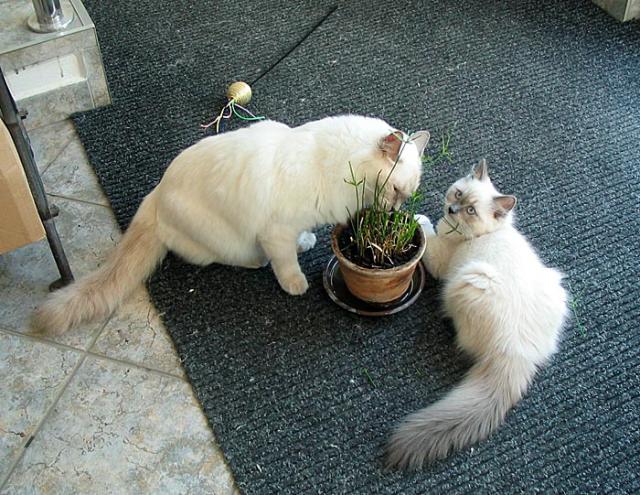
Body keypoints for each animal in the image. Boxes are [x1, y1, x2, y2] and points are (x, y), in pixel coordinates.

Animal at [31, 115, 430, 338]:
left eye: (406, 195)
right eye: (396, 191)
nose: (394, 213)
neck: (334, 165)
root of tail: (155, 195)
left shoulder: (294, 225)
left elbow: (300, 239)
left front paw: (306, 242)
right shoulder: (276, 231)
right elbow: (286, 262)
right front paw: (295, 284)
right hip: (225, 242)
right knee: (238, 258)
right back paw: (257, 261)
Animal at [384, 159, 568, 468]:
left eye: (470, 211)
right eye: (458, 194)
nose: (451, 210)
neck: (486, 233)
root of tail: (519, 353)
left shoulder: (439, 258)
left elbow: (427, 230)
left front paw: (418, 217)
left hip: (469, 280)